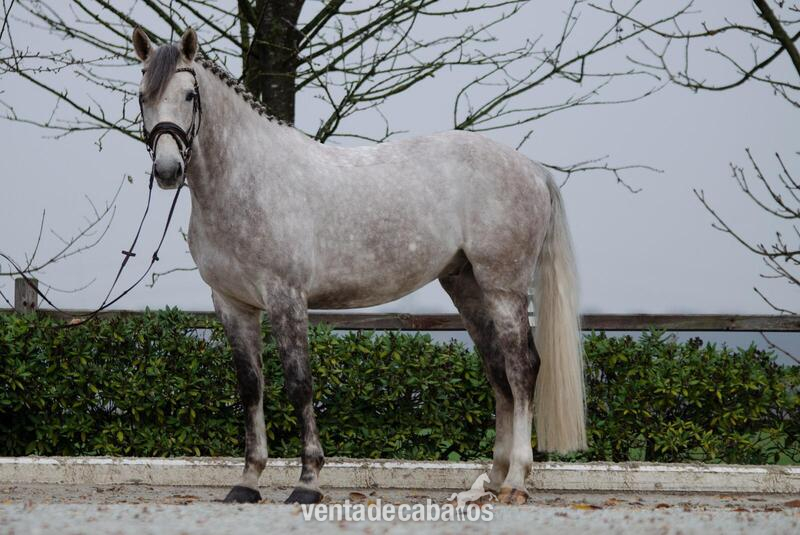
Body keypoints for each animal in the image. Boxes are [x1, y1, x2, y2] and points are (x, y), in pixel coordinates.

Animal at [131, 27, 586, 505]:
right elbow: (251, 387)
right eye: (143, 96)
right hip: (468, 287)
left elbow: (299, 384)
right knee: (497, 370)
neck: (246, 180)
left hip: (504, 288)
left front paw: (308, 482)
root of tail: (532, 168)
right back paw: (493, 479)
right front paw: (248, 481)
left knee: (522, 369)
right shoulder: (232, 304)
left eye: (188, 95)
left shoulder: (286, 298)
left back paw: (517, 479)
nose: (167, 170)